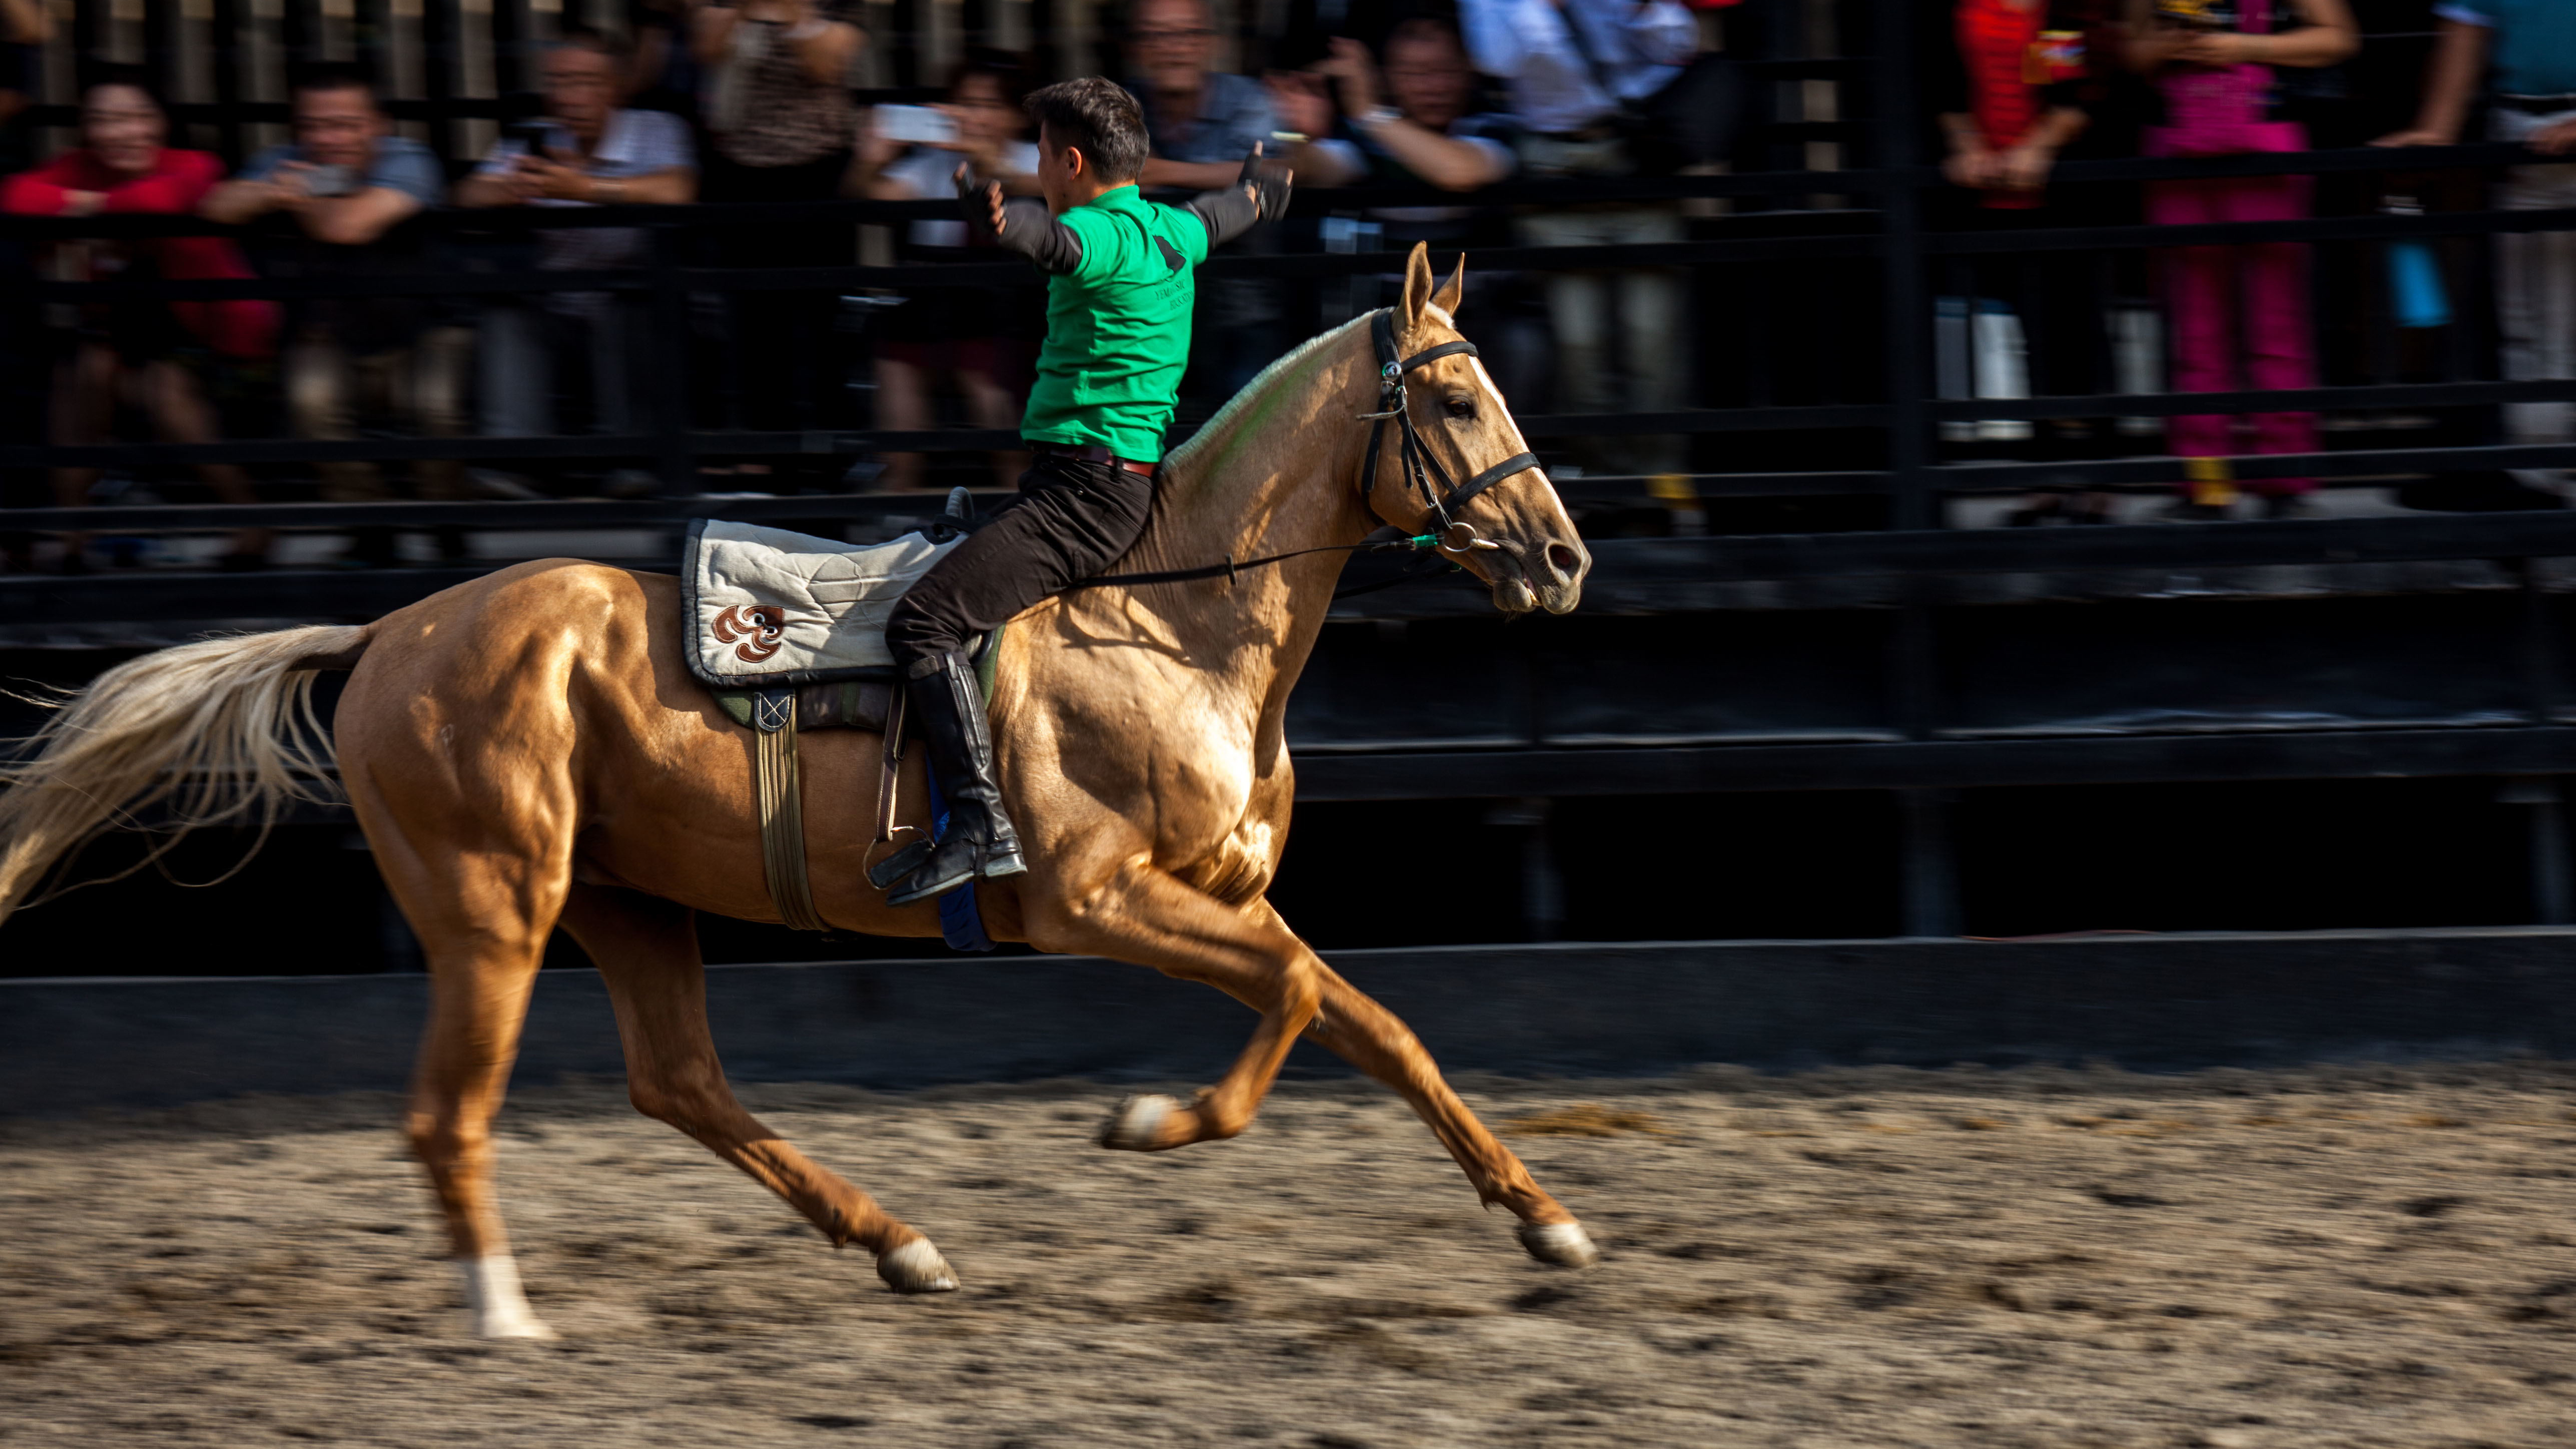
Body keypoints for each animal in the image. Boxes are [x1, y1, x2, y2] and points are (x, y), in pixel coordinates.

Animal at [0, 242, 1587, 1340]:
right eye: (1455, 396)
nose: (1562, 559)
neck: (1165, 623)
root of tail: (386, 633)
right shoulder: (1099, 899)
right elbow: (1314, 999)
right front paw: (1150, 1121)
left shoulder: (1220, 900)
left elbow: (1363, 1019)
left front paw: (1544, 1221)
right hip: (493, 907)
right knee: (450, 1115)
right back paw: (507, 1312)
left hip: (625, 900)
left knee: (680, 1081)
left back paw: (898, 1242)